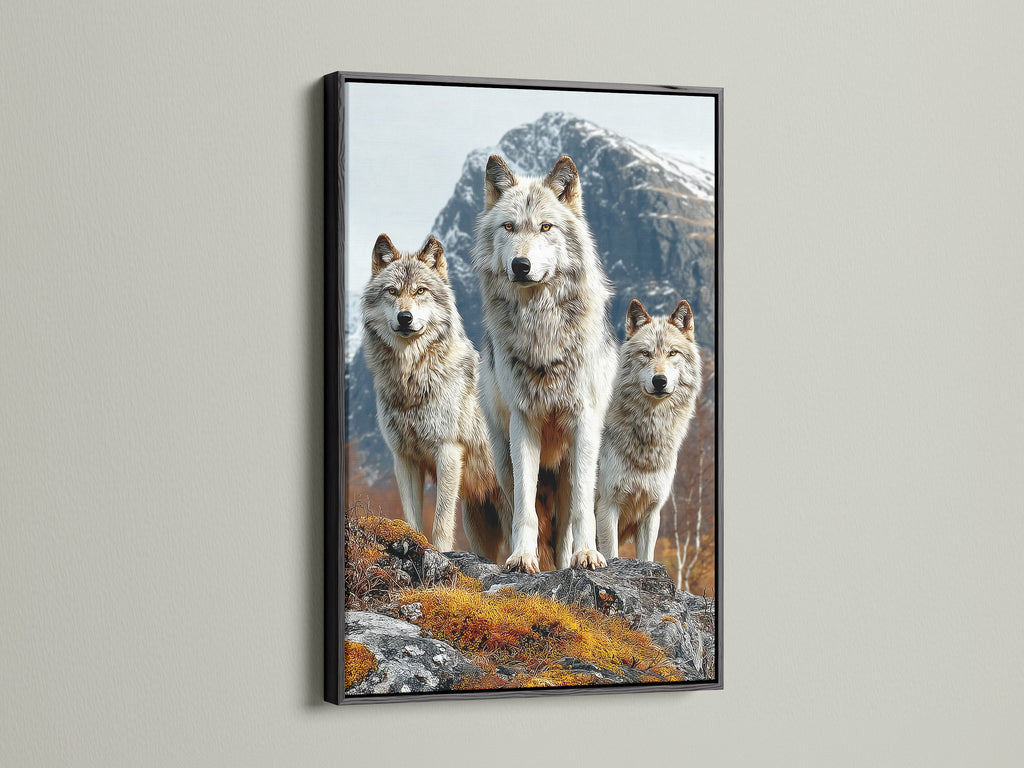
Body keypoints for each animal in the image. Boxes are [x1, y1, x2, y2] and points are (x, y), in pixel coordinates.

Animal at [361, 234, 504, 558]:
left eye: (420, 291)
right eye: (392, 291)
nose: (405, 317)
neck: (412, 380)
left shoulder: (448, 451)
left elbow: (440, 520)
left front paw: (438, 552)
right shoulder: (404, 458)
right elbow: (412, 517)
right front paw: (410, 542)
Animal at [472, 154, 618, 573]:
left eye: (545, 227)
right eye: (509, 226)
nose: (521, 264)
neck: (542, 331)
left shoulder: (583, 422)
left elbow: (583, 511)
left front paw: (587, 556)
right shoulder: (524, 423)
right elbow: (525, 511)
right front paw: (522, 558)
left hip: (573, 466)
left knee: (567, 520)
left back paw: (571, 558)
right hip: (503, 460)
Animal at [596, 299, 702, 562]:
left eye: (672, 353)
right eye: (646, 353)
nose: (659, 381)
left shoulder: (652, 512)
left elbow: (647, 558)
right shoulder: (607, 506)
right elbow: (611, 555)